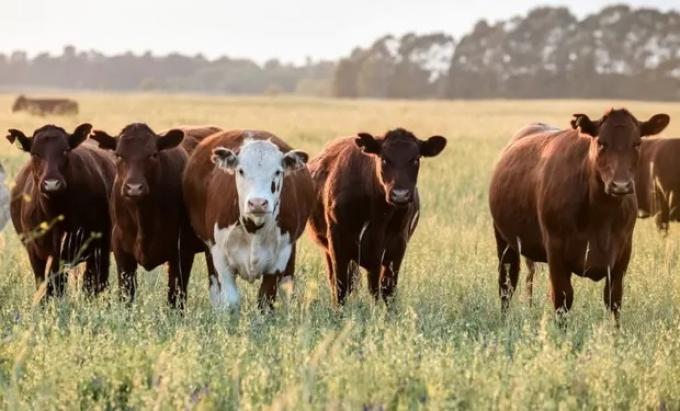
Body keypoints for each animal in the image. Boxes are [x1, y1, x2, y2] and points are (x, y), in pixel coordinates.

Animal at [7, 124, 115, 298]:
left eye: (65, 150)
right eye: (35, 153)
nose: (52, 184)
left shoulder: (95, 247)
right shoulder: (37, 252)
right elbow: (46, 286)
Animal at [90, 124, 222, 309]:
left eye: (153, 154)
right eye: (118, 154)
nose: (134, 188)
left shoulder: (182, 252)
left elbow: (176, 297)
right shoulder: (121, 250)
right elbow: (126, 295)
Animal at [183, 130, 313, 309]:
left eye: (277, 171)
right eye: (241, 171)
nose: (257, 202)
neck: (254, 228)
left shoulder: (279, 259)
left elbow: (265, 301)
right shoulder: (220, 256)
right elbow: (230, 301)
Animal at [307, 128, 447, 305]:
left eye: (415, 159)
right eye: (384, 158)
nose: (400, 195)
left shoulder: (396, 245)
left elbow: (387, 289)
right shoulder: (337, 242)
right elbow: (340, 287)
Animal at [489, 109, 670, 323]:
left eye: (637, 143)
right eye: (601, 142)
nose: (621, 185)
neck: (601, 216)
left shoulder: (623, 252)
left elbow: (614, 299)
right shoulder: (555, 249)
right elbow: (563, 299)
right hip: (504, 240)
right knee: (507, 284)